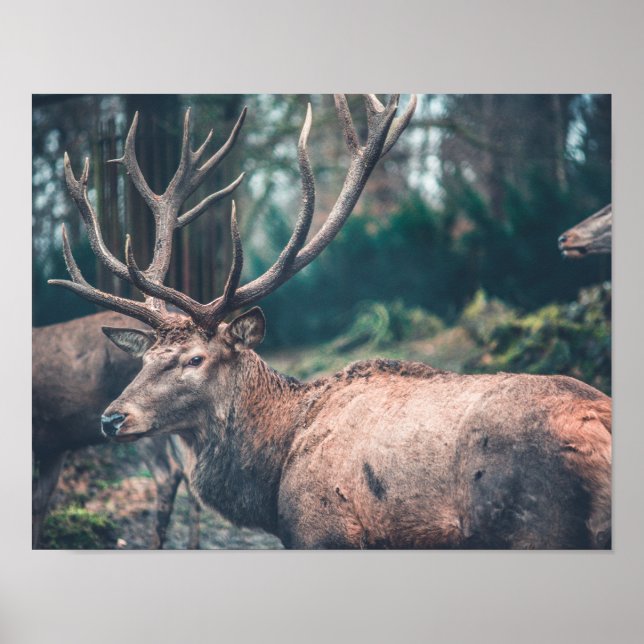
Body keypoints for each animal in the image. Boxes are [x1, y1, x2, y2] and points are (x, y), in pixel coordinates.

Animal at [50, 94, 611, 549]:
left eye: (195, 359)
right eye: (144, 358)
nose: (111, 418)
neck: (273, 478)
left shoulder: (322, 528)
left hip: (537, 524)